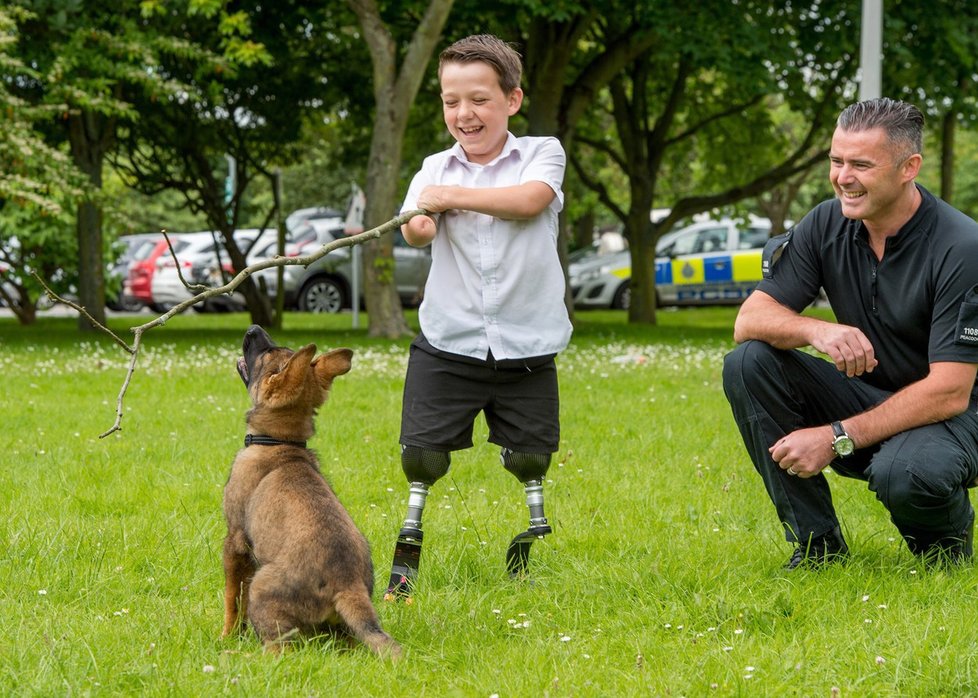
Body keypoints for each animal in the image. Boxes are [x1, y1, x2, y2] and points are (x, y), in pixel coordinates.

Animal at [222, 324, 400, 656]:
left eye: (266, 353)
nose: (253, 328)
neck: (280, 442)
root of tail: (347, 585)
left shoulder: (235, 541)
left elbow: (232, 599)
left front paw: (226, 636)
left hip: (261, 590)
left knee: (280, 649)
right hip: (343, 629)